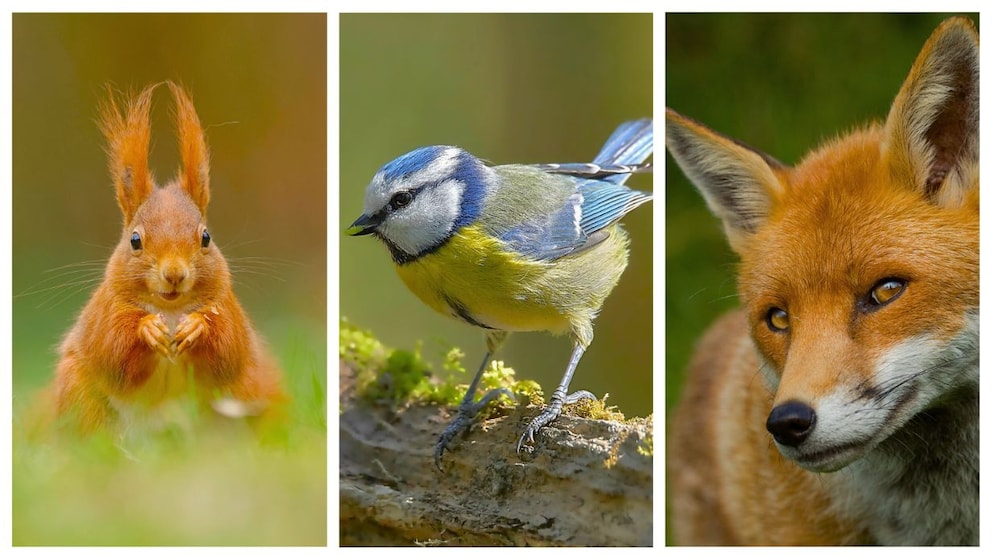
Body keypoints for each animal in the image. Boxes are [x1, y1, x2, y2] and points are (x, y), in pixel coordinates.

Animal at [51, 82, 286, 434]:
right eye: (135, 240)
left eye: (206, 237)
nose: (174, 274)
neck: (171, 310)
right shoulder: (105, 312)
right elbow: (113, 349)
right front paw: (147, 329)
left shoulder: (227, 309)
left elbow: (227, 347)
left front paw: (196, 327)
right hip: (78, 390)